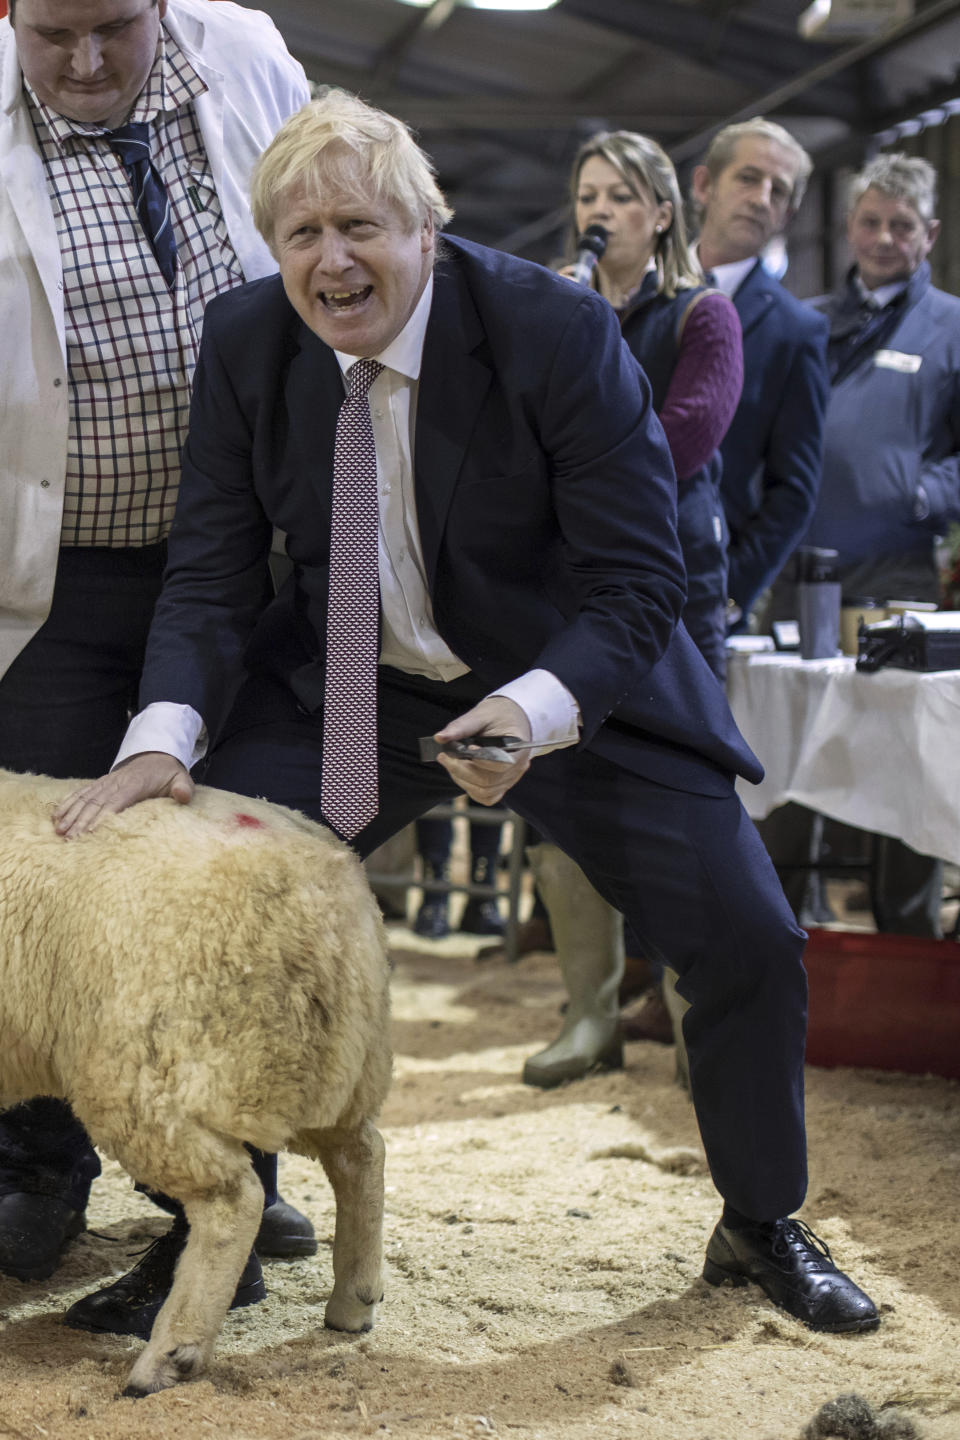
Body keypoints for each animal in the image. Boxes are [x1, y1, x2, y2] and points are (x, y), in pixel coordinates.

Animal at [0, 766, 394, 1393]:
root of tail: (329, 882)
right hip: (326, 1064)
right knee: (362, 1154)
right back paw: (353, 1303)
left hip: (164, 1074)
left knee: (233, 1198)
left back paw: (168, 1356)